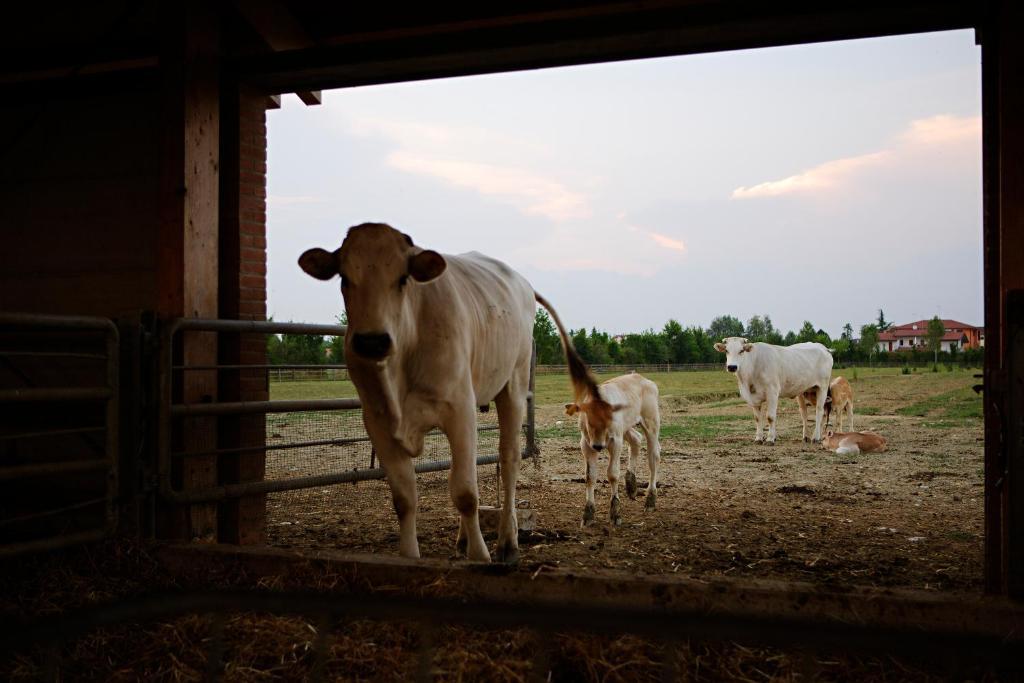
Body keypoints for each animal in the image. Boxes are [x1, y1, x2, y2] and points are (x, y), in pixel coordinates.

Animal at [565, 370, 659, 528]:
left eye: (608, 417)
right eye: (588, 419)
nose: (598, 446)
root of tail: (641, 378)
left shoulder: (615, 441)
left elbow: (613, 474)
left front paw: (615, 513)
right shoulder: (586, 444)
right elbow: (590, 476)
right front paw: (588, 514)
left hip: (651, 422)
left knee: (653, 458)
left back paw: (650, 500)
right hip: (626, 427)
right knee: (636, 439)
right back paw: (631, 485)